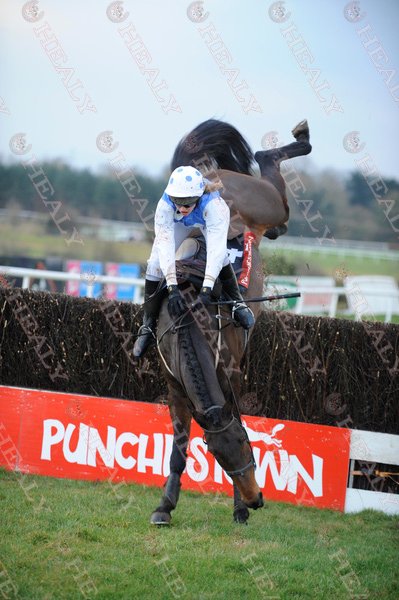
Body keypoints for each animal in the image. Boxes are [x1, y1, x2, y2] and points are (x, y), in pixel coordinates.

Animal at [150, 119, 312, 524]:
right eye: (216, 456)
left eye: (245, 442)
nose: (256, 499)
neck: (190, 323)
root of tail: (214, 178)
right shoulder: (175, 388)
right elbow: (177, 451)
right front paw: (165, 506)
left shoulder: (233, 374)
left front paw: (238, 509)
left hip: (269, 203)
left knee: (269, 167)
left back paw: (300, 139)